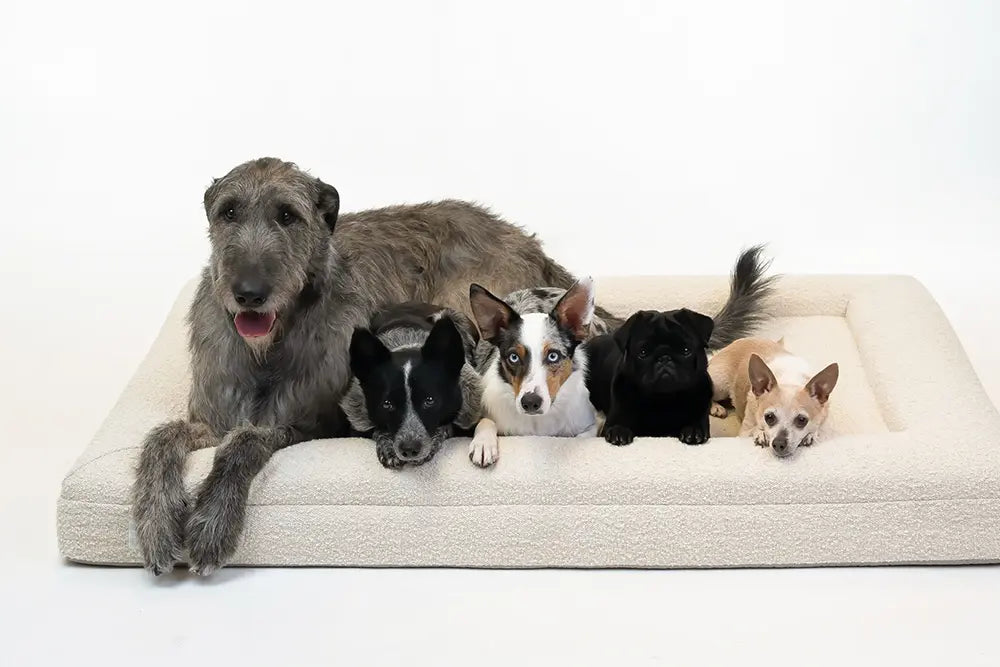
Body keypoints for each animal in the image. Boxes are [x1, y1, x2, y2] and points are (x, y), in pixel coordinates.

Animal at [128, 157, 604, 576]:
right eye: (228, 211)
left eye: (288, 215)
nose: (248, 293)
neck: (267, 349)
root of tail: (524, 239)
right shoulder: (210, 417)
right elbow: (160, 437)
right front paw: (156, 522)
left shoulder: (313, 424)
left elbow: (244, 441)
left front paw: (212, 523)